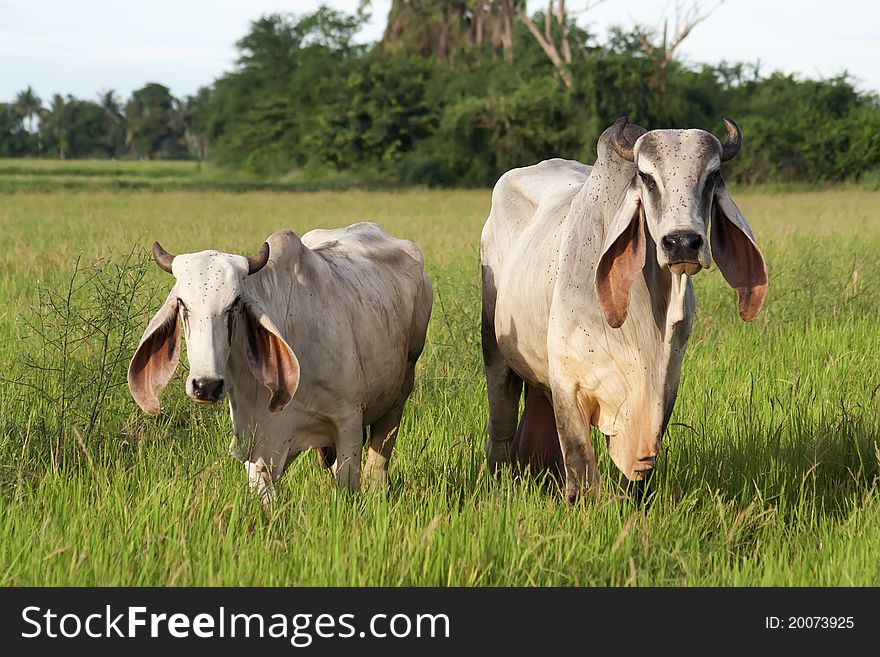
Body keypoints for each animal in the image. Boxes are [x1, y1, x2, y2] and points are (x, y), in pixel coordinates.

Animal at [127, 220, 434, 498]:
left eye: (234, 304)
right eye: (182, 304)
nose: (206, 385)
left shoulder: (348, 424)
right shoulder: (257, 446)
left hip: (397, 397)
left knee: (378, 464)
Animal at [482, 115, 768, 500]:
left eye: (712, 175)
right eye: (646, 177)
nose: (682, 242)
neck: (648, 321)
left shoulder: (666, 384)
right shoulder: (567, 381)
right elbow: (581, 469)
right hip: (496, 351)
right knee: (502, 425)